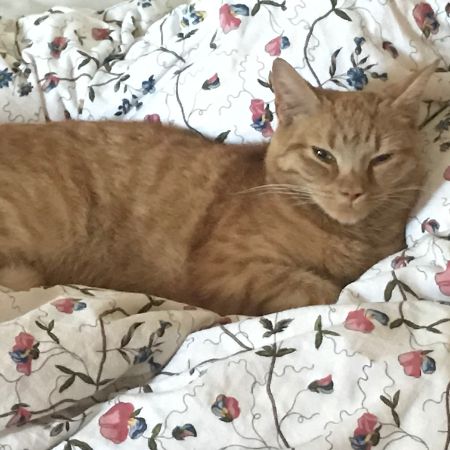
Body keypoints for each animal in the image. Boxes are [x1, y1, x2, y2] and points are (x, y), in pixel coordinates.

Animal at [0, 58, 433, 316]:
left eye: (380, 159)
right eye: (322, 155)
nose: (352, 191)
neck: (347, 236)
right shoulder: (225, 271)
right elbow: (324, 291)